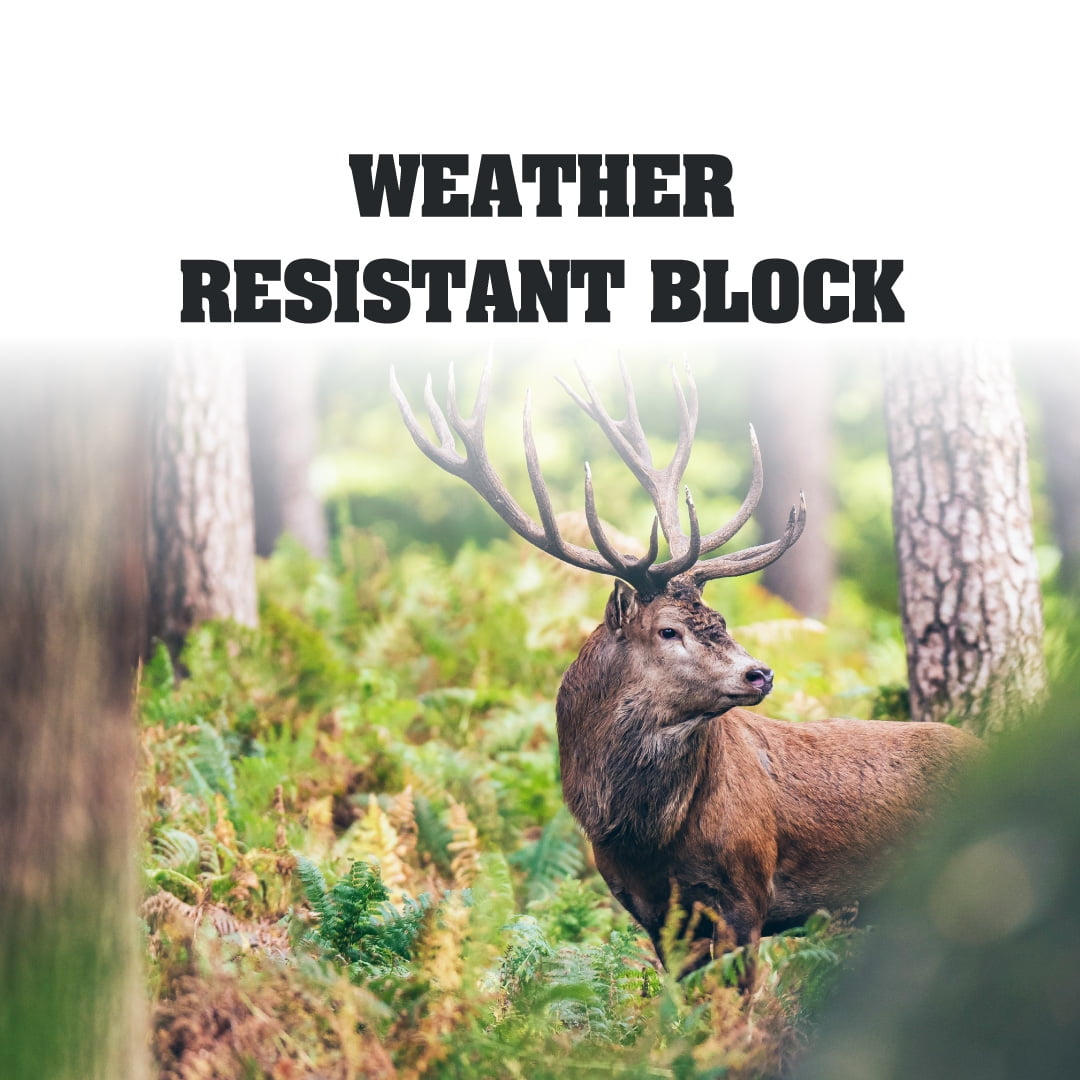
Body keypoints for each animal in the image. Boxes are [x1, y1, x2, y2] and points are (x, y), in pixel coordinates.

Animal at [391, 360, 982, 988]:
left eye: (720, 619)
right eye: (669, 630)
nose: (759, 674)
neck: (647, 838)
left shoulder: (748, 890)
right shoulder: (649, 909)